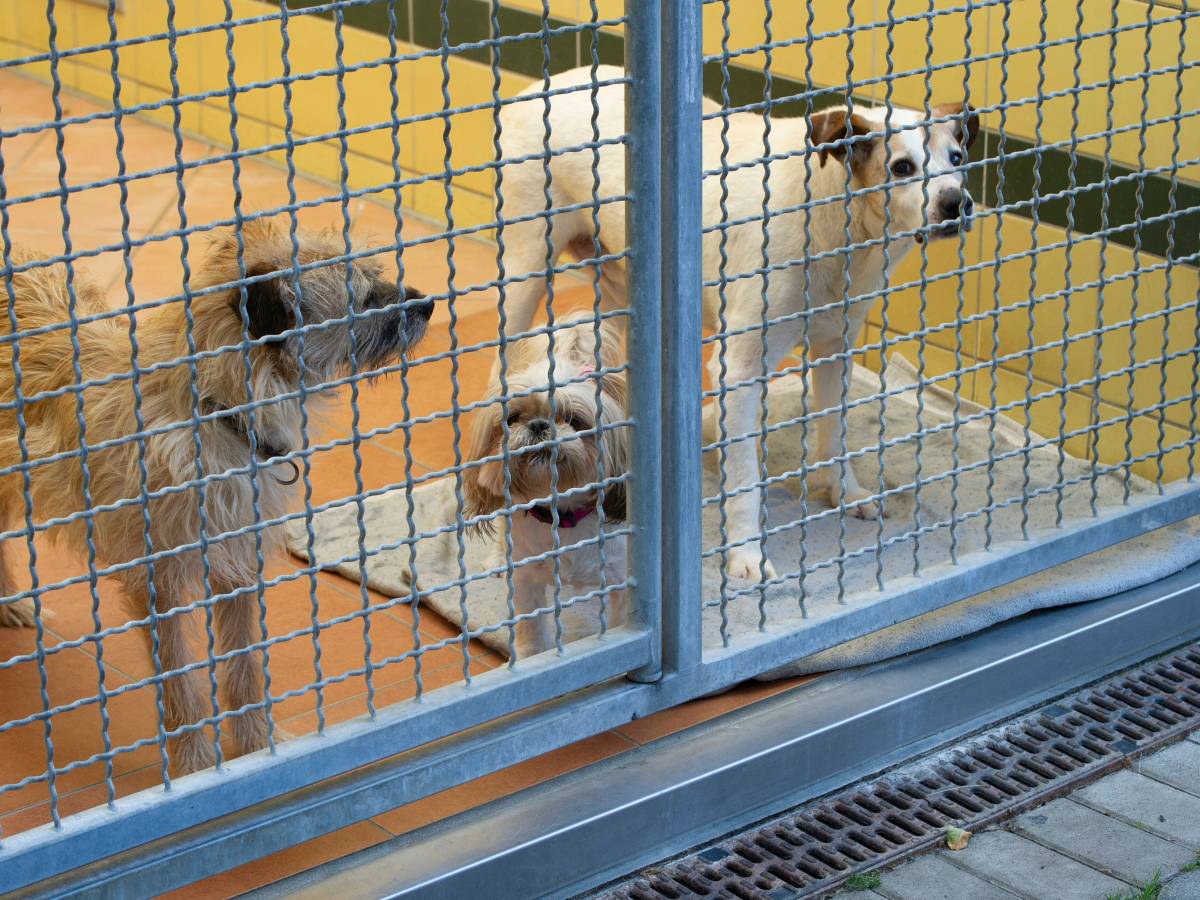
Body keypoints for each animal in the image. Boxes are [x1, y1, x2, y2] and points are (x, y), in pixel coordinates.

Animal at [0, 220, 432, 777]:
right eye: (363, 297)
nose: (428, 304)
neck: (216, 410)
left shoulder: (237, 566)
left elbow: (244, 665)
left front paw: (254, 747)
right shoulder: (158, 581)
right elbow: (179, 682)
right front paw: (196, 764)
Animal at [460, 314, 633, 657]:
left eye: (574, 420)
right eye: (512, 418)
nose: (539, 425)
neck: (563, 516)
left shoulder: (621, 578)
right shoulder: (528, 580)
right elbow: (531, 629)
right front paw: (531, 657)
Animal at [487, 65, 974, 585]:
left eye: (957, 157)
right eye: (902, 167)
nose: (956, 203)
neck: (829, 211)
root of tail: (545, 84)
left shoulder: (835, 350)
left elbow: (835, 433)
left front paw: (846, 493)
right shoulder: (740, 371)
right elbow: (746, 481)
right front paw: (746, 553)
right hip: (523, 277)